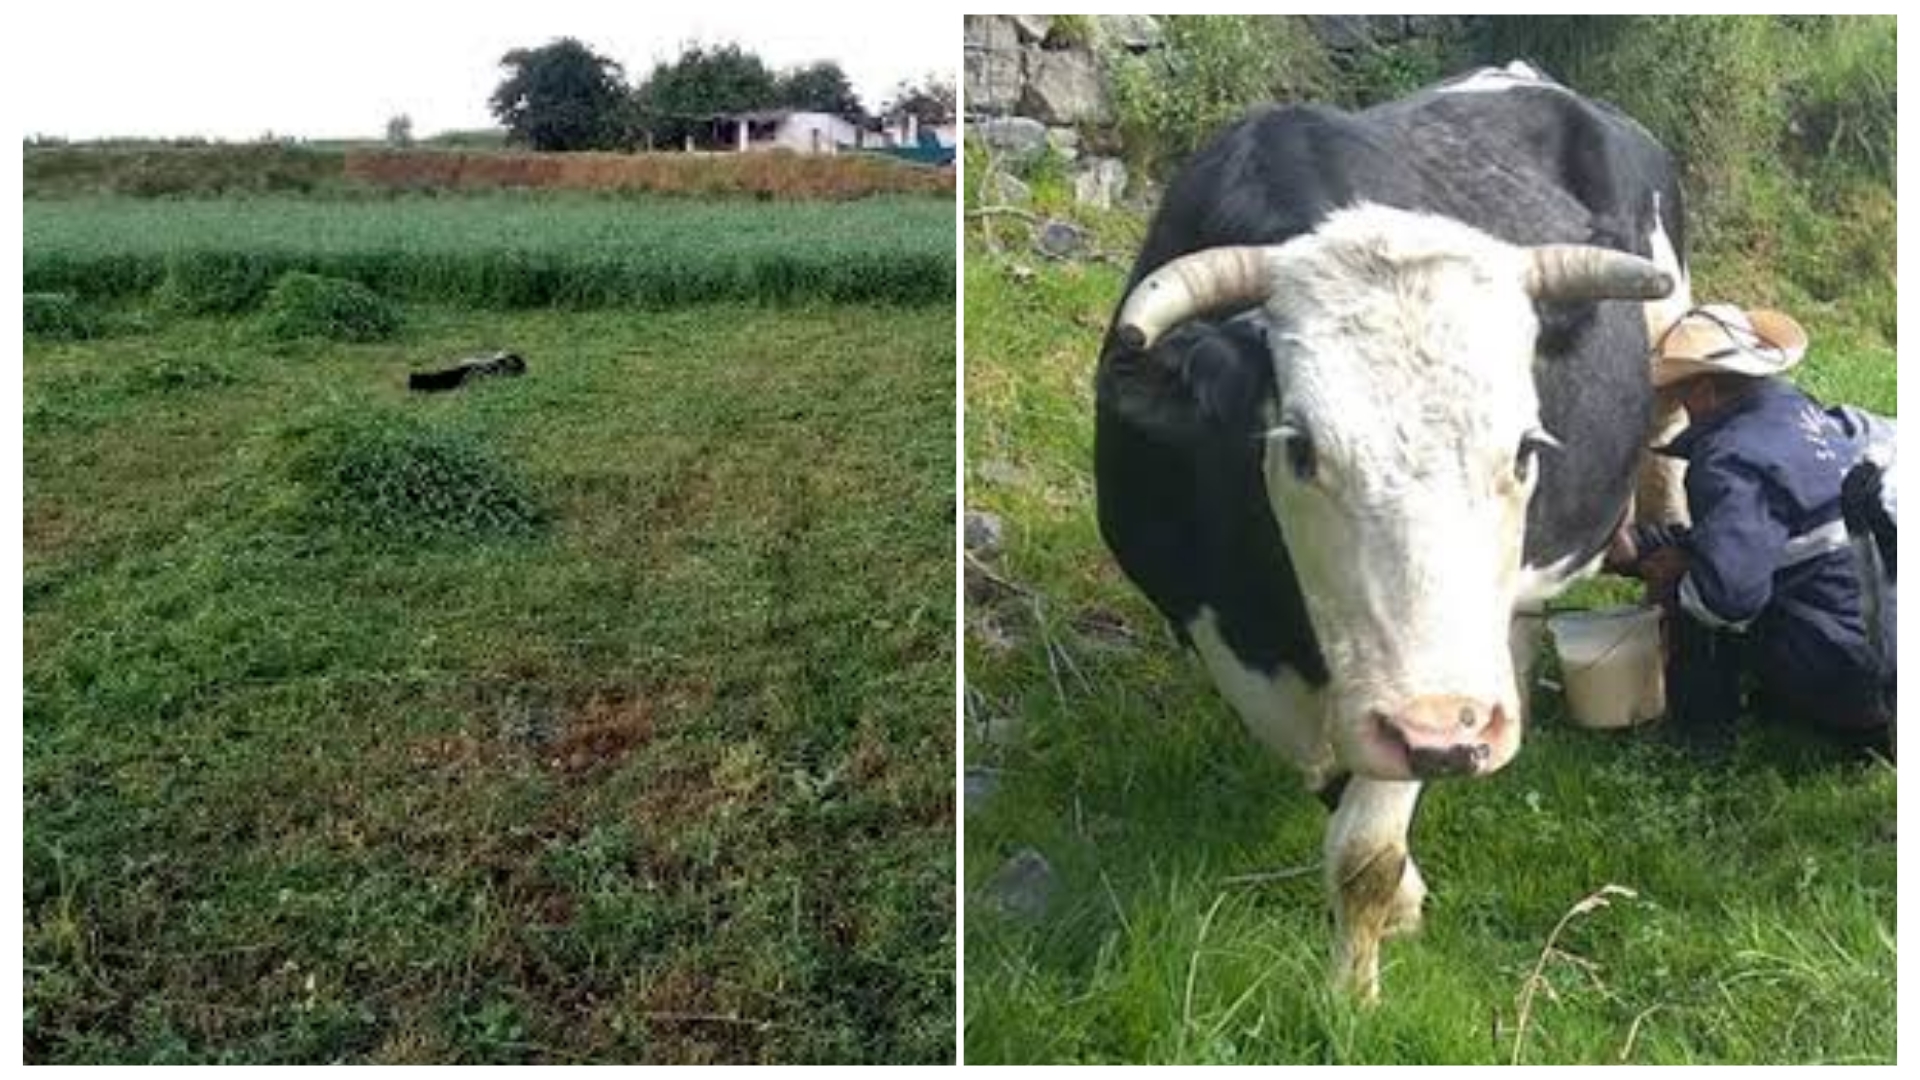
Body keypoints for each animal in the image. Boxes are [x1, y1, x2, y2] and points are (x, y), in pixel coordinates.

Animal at [1098, 62, 1697, 999]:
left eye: (1525, 446)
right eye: (1300, 447)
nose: (1452, 730)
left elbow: (1364, 850)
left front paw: (1355, 992)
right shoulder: (1212, 626)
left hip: (1674, 355)